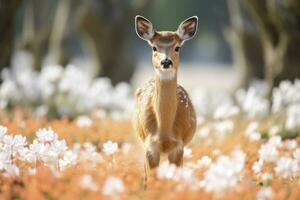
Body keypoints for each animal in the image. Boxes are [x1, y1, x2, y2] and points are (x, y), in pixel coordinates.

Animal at [133, 14, 198, 185]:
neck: (165, 133)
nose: (166, 61)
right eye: (154, 47)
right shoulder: (149, 146)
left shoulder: (179, 147)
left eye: (177, 47)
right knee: (145, 177)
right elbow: (151, 181)